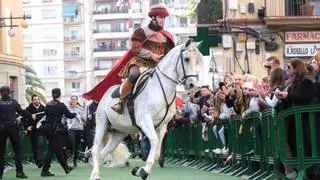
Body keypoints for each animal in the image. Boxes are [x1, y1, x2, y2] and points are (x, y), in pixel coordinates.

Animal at [89, 39, 202, 180]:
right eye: (186, 59)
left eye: (197, 60)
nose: (192, 84)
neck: (160, 89)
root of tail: (104, 96)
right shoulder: (145, 121)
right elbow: (154, 141)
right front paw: (143, 171)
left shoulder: (162, 126)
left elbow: (157, 152)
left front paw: (139, 170)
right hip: (102, 124)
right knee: (96, 150)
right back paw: (95, 174)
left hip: (118, 134)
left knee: (103, 153)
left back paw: (95, 174)